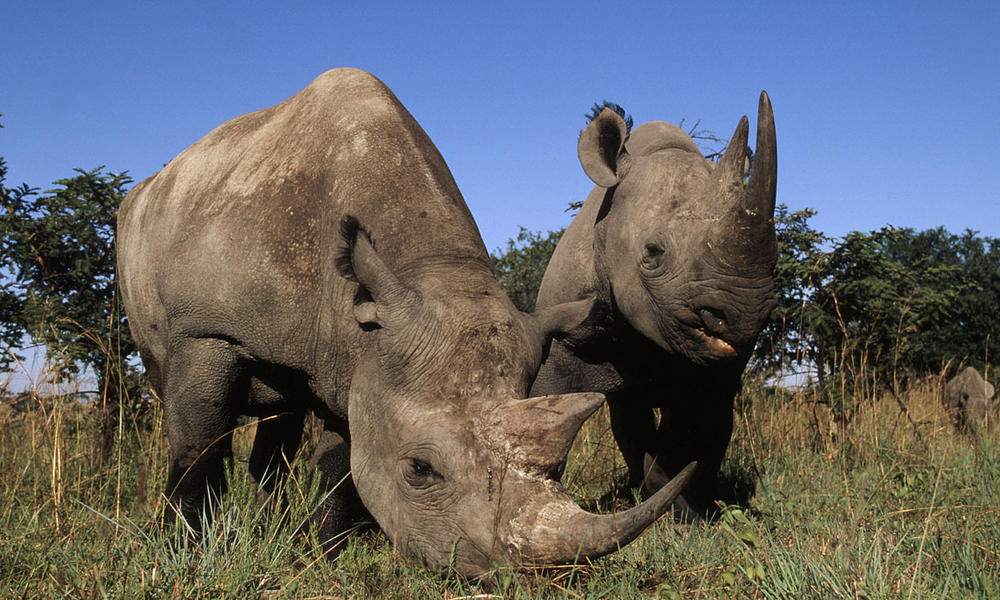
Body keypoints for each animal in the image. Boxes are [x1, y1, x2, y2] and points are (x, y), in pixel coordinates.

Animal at [116, 68, 694, 576]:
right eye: (420, 470)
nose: (516, 575)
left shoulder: (356, 353)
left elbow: (340, 464)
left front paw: (320, 555)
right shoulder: (204, 330)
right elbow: (196, 442)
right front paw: (182, 553)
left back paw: (271, 524)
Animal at [530, 94, 777, 515]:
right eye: (653, 253)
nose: (742, 317)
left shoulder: (716, 367)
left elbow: (698, 436)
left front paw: (688, 515)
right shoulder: (563, 336)